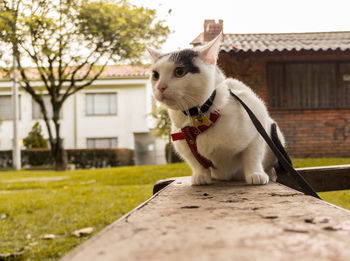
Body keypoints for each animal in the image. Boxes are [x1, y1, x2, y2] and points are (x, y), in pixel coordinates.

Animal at [146, 33, 286, 185]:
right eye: (155, 75)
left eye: (179, 72)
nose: (160, 87)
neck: (199, 117)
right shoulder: (184, 145)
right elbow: (195, 162)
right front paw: (201, 175)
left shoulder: (257, 116)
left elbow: (253, 155)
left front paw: (255, 174)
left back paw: (270, 174)